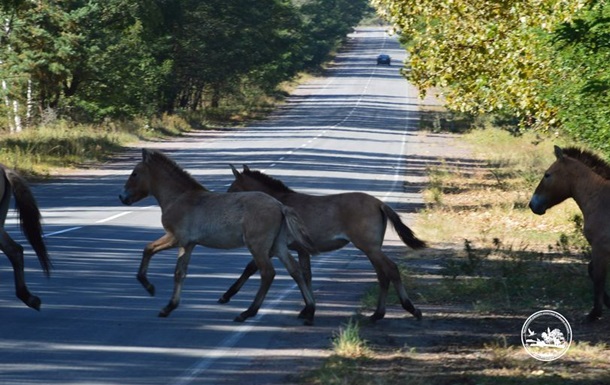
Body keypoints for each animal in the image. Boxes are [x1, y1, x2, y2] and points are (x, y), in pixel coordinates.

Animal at [120, 148, 318, 322]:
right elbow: (179, 272)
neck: (180, 197)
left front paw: (149, 287)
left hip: (258, 246)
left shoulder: (176, 238)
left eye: (135, 174)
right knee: (295, 270)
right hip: (277, 245)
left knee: (268, 273)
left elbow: (150, 250)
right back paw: (309, 310)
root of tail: (280, 206)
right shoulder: (188, 244)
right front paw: (169, 307)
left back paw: (247, 313)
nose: (122, 197)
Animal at [221, 164, 426, 320]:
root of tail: (379, 203)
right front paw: (307, 309)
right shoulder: (300, 250)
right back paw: (377, 314)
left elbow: (251, 268)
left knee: (391, 269)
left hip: (370, 248)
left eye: (233, 189)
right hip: (372, 249)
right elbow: (306, 275)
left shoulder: (273, 247)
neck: (278, 203)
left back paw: (411, 308)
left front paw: (226, 296)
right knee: (382, 275)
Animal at [524, 146, 608, 320]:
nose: (533, 204)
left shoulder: (600, 248)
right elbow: (592, 271)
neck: (602, 200)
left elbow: (598, 276)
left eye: (547, 174)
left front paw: (594, 313)